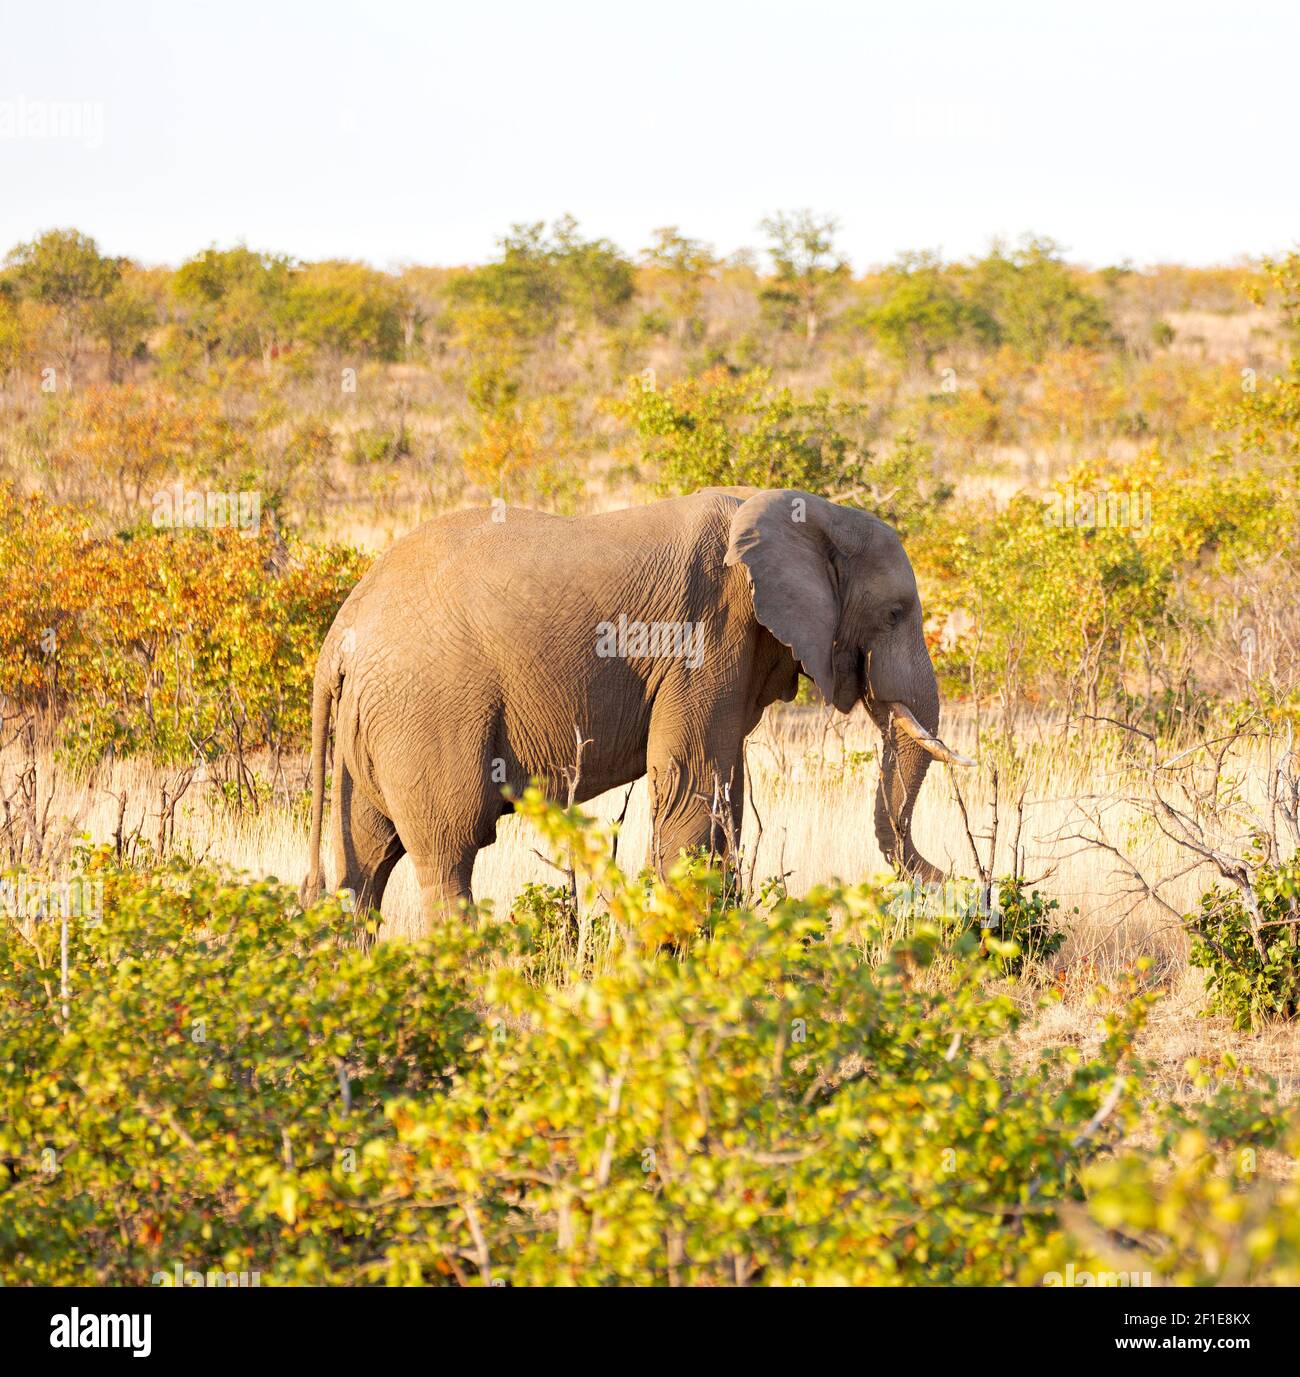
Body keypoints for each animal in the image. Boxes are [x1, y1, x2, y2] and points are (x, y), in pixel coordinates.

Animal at [299, 487, 970, 929]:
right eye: (895, 613)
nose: (957, 886)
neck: (805, 513)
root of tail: (338, 640)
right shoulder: (707, 634)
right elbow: (692, 781)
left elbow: (725, 790)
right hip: (427, 710)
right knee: (449, 852)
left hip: (374, 726)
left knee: (366, 863)